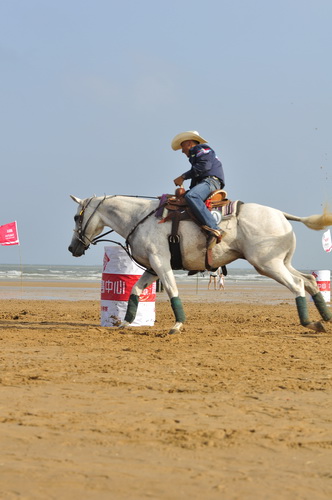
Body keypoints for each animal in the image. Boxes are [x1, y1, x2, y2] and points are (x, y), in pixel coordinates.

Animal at [67, 193, 332, 334]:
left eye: (77, 217)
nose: (72, 248)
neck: (140, 217)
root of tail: (281, 215)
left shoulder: (161, 263)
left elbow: (172, 291)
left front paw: (177, 325)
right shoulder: (152, 268)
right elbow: (135, 290)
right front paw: (125, 322)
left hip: (268, 265)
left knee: (297, 285)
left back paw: (310, 322)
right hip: (281, 262)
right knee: (310, 281)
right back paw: (326, 319)